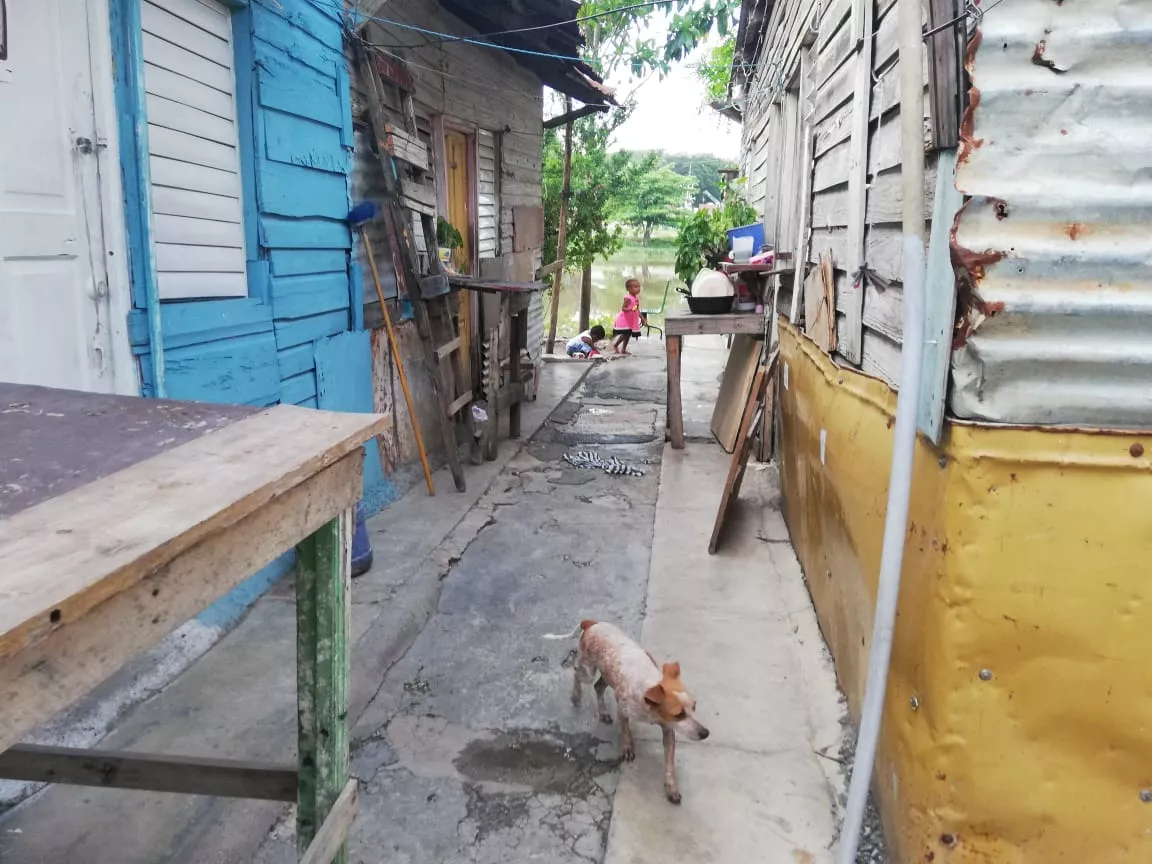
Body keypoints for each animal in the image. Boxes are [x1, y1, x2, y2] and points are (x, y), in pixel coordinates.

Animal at [543, 617, 705, 801]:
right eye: (679, 714)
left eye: (694, 706)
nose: (705, 733)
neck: (648, 688)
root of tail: (592, 623)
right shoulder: (623, 707)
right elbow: (625, 729)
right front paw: (628, 746)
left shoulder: (668, 729)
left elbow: (669, 763)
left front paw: (671, 787)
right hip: (588, 670)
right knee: (577, 673)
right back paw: (576, 696)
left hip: (607, 674)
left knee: (598, 687)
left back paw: (603, 712)